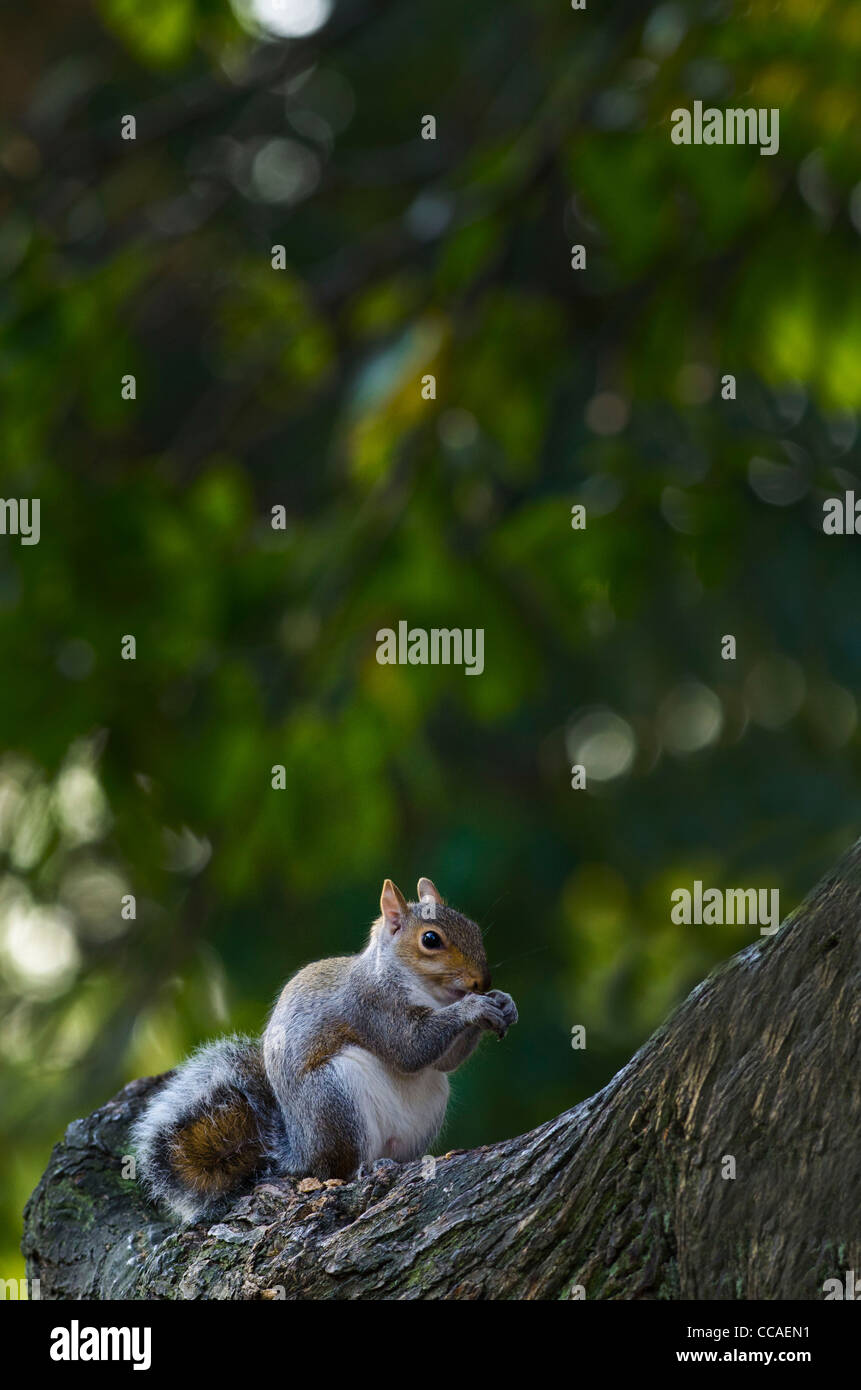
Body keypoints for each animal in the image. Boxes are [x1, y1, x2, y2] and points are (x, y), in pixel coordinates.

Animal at [132, 877, 518, 1223]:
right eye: (430, 939)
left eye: (473, 927)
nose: (483, 981)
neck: (423, 989)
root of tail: (298, 1153)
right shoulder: (370, 1007)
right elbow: (410, 1048)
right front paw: (474, 1007)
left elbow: (445, 1061)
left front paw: (503, 1003)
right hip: (334, 1099)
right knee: (336, 1168)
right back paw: (364, 1168)